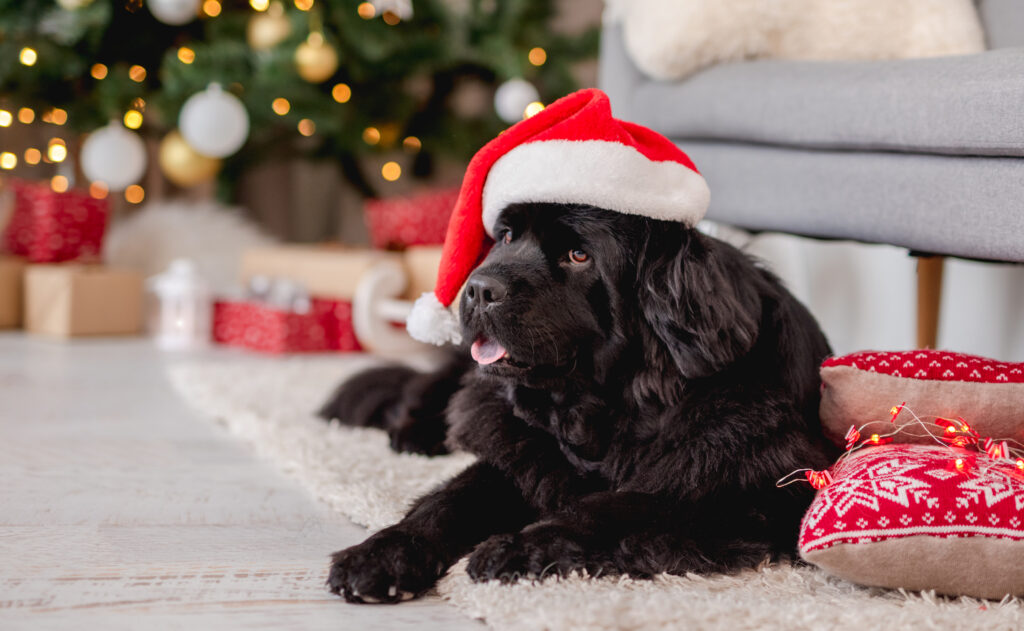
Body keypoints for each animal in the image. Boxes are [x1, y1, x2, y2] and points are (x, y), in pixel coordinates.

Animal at [323, 201, 835, 602]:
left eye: (578, 255)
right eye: (506, 237)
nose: (478, 288)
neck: (611, 407)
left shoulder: (742, 489)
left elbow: (617, 507)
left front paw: (516, 547)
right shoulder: (523, 454)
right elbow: (450, 499)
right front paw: (382, 553)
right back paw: (414, 433)